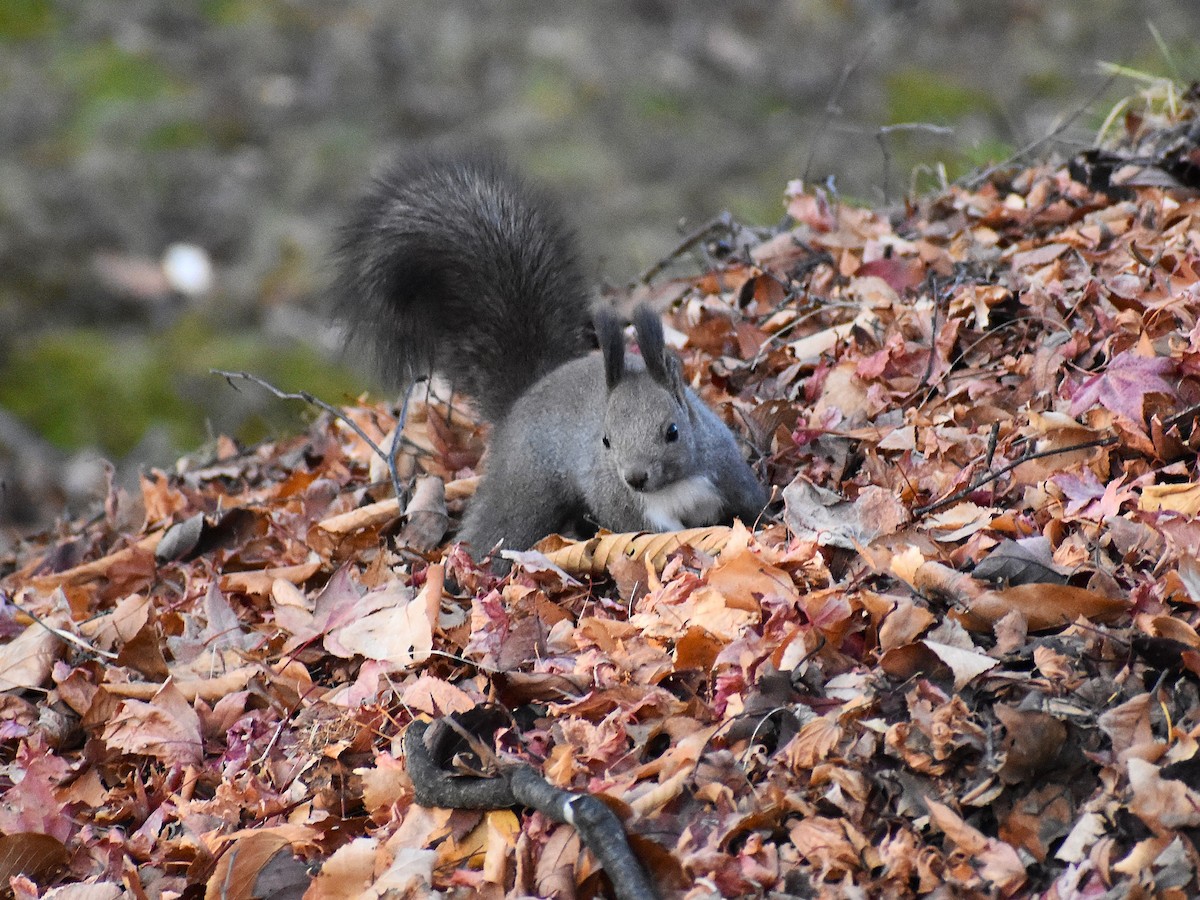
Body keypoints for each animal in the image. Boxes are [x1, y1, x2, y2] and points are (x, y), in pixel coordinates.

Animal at [335, 148, 767, 562]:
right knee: (498, 529)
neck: (676, 486)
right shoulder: (631, 509)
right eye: (605, 441)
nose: (635, 478)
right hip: (523, 488)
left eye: (672, 431)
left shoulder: (727, 476)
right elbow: (653, 537)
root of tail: (526, 395)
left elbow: (753, 507)